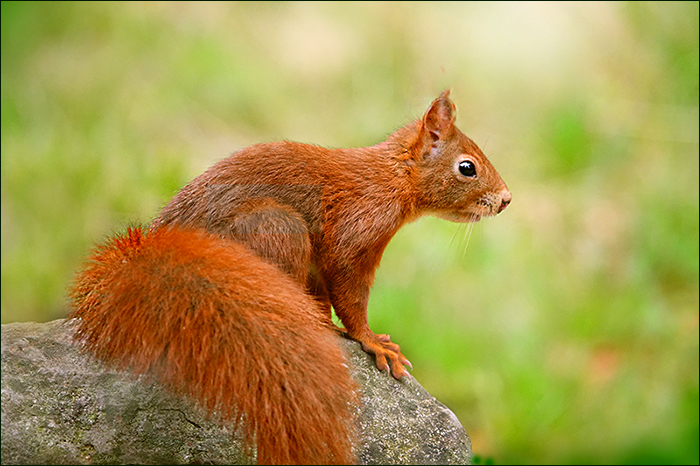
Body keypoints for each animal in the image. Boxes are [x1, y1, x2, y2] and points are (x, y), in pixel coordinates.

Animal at [68, 90, 511, 464]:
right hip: (280, 230)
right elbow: (350, 296)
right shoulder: (352, 238)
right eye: (467, 167)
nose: (506, 200)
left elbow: (323, 294)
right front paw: (371, 341)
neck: (389, 179)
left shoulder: (322, 263)